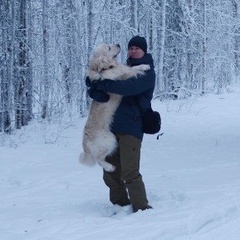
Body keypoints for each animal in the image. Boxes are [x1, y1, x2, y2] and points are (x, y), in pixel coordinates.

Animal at [79, 44, 149, 172]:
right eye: (109, 48)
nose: (118, 44)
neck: (104, 68)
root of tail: (85, 145)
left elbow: (131, 67)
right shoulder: (122, 77)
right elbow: (132, 69)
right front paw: (145, 66)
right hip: (110, 139)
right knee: (98, 160)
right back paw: (110, 167)